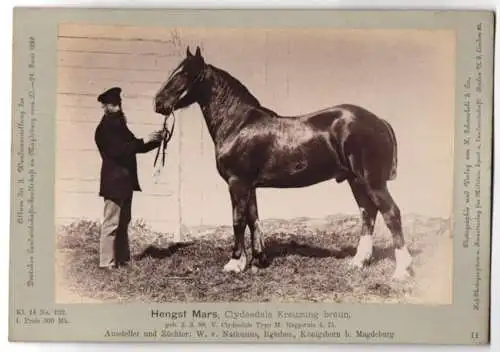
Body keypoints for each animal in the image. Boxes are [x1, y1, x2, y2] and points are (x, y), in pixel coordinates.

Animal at [154, 47, 412, 280]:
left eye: (184, 74)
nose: (157, 103)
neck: (239, 123)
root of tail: (379, 121)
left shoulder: (237, 183)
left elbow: (238, 220)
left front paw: (235, 263)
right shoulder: (249, 185)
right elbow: (253, 219)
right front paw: (258, 260)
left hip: (372, 181)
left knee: (391, 213)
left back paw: (401, 270)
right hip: (355, 180)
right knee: (368, 213)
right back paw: (359, 262)